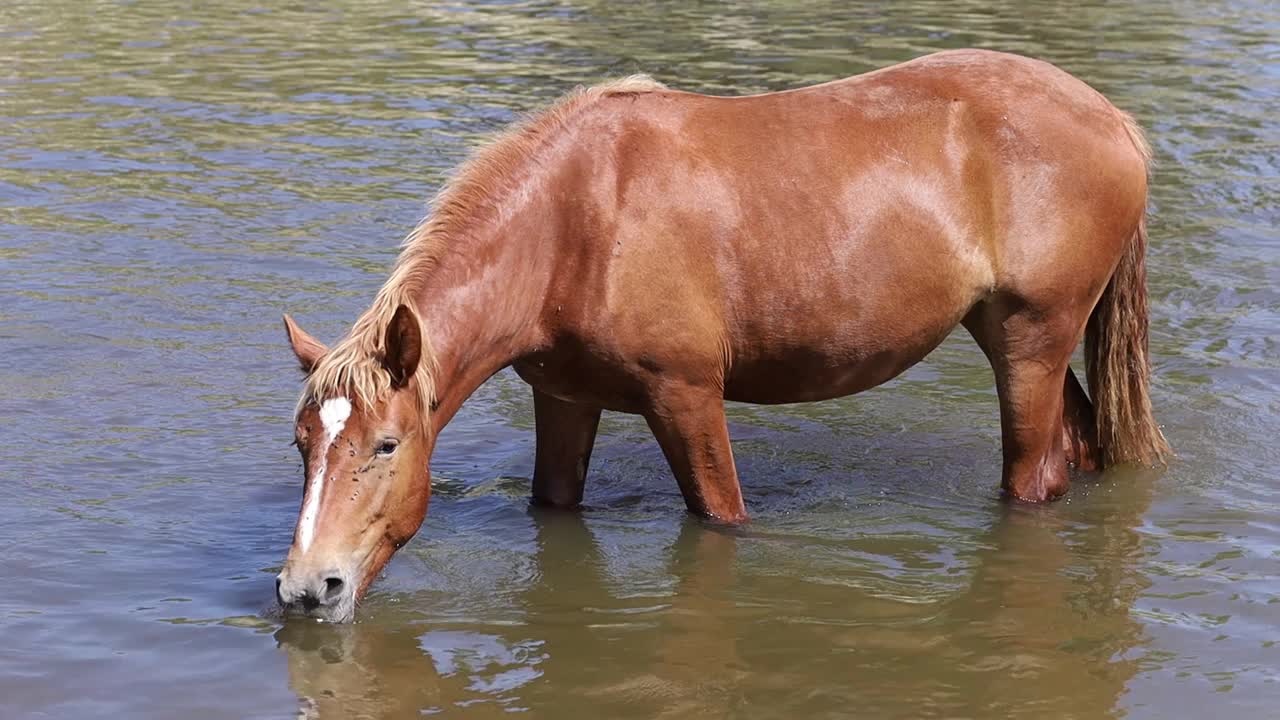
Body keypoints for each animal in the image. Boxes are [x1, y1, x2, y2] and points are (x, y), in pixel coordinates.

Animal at [275, 50, 1167, 620]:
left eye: (386, 446)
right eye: (303, 445)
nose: (306, 590)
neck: (573, 225)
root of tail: (1114, 120)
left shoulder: (687, 399)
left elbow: (721, 517)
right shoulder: (564, 401)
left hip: (1031, 342)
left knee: (1033, 479)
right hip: (1019, 339)